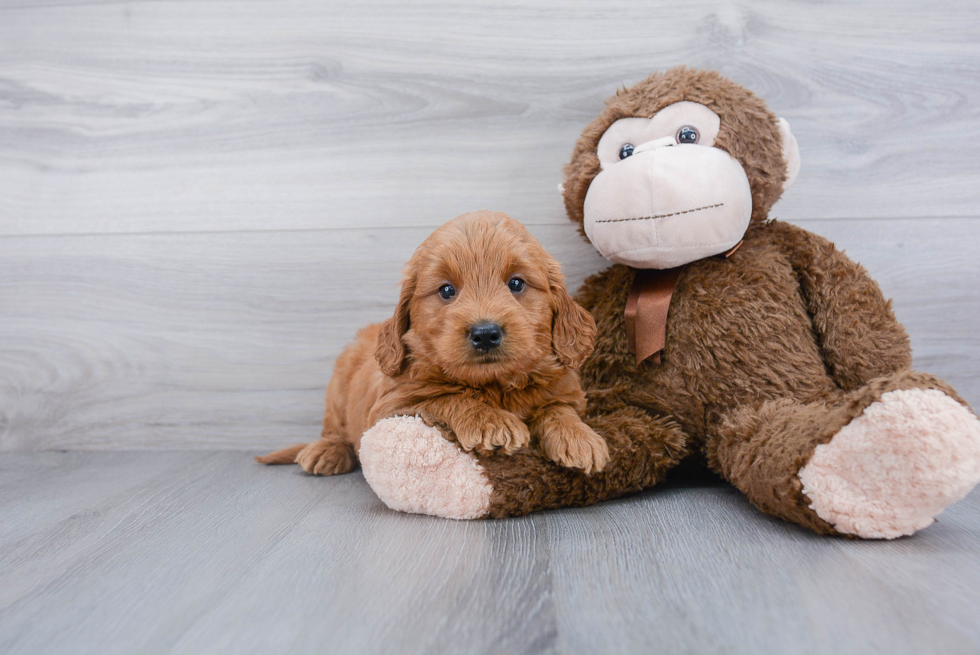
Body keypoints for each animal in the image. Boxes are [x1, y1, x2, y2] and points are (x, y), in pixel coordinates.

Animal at [256, 214, 608, 476]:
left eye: (517, 283)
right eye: (447, 290)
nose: (485, 333)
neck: (493, 384)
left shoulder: (564, 390)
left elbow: (557, 408)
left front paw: (579, 438)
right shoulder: (389, 408)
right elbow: (446, 396)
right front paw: (491, 421)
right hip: (338, 384)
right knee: (333, 428)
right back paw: (327, 451)